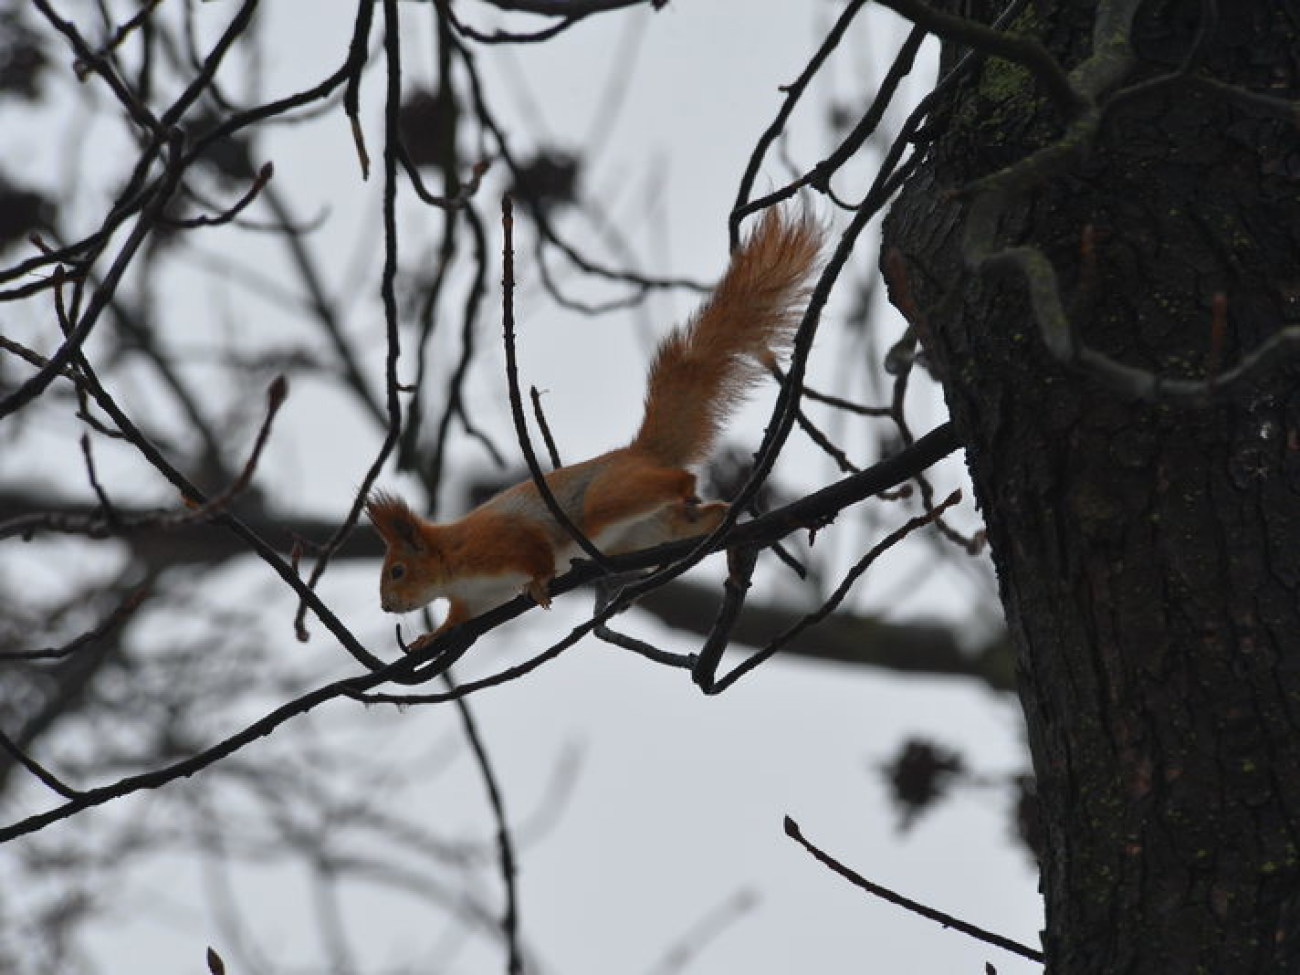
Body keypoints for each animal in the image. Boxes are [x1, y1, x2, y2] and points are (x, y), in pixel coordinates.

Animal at [364, 206, 821, 644]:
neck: (451, 559)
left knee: (672, 482)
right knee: (694, 517)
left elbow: (535, 552)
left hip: (611, 497)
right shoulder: (476, 598)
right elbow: (459, 619)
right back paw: (726, 526)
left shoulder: (501, 540)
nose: (386, 607)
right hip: (649, 531)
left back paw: (691, 489)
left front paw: (539, 582)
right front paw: (430, 636)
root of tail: (641, 452)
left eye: (398, 570)